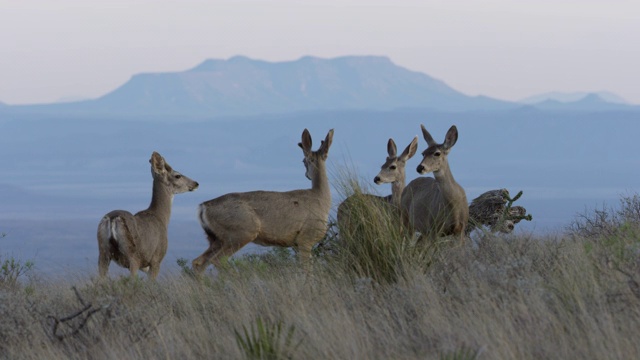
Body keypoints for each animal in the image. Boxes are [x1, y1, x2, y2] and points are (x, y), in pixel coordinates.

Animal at [192, 128, 336, 274]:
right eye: (303, 161)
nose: (307, 175)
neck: (321, 199)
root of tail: (203, 207)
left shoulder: (300, 242)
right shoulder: (306, 238)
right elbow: (307, 270)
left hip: (215, 238)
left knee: (198, 261)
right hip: (240, 232)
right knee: (217, 260)